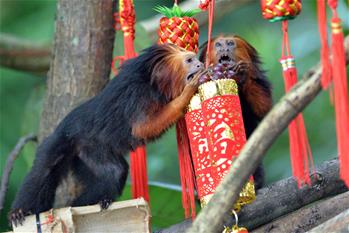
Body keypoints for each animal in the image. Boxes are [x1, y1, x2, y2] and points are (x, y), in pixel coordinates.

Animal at [10, 43, 204, 226]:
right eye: (189, 60)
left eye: (196, 59)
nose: (200, 64)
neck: (153, 83)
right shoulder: (137, 95)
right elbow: (142, 127)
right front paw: (187, 93)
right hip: (62, 140)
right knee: (45, 168)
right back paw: (19, 211)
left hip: (89, 153)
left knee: (115, 171)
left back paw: (91, 203)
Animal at [198, 35, 272, 189]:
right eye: (218, 45)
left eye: (230, 43)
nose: (224, 49)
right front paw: (206, 77)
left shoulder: (261, 81)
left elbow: (264, 109)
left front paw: (243, 75)